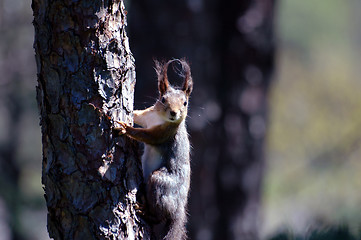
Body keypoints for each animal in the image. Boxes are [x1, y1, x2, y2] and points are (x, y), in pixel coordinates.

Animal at [114, 58, 193, 240]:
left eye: (185, 103)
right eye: (163, 99)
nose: (174, 113)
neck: (159, 118)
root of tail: (179, 209)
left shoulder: (163, 134)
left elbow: (145, 136)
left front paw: (125, 129)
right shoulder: (146, 115)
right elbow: (136, 115)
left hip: (161, 184)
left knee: (159, 216)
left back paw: (145, 211)